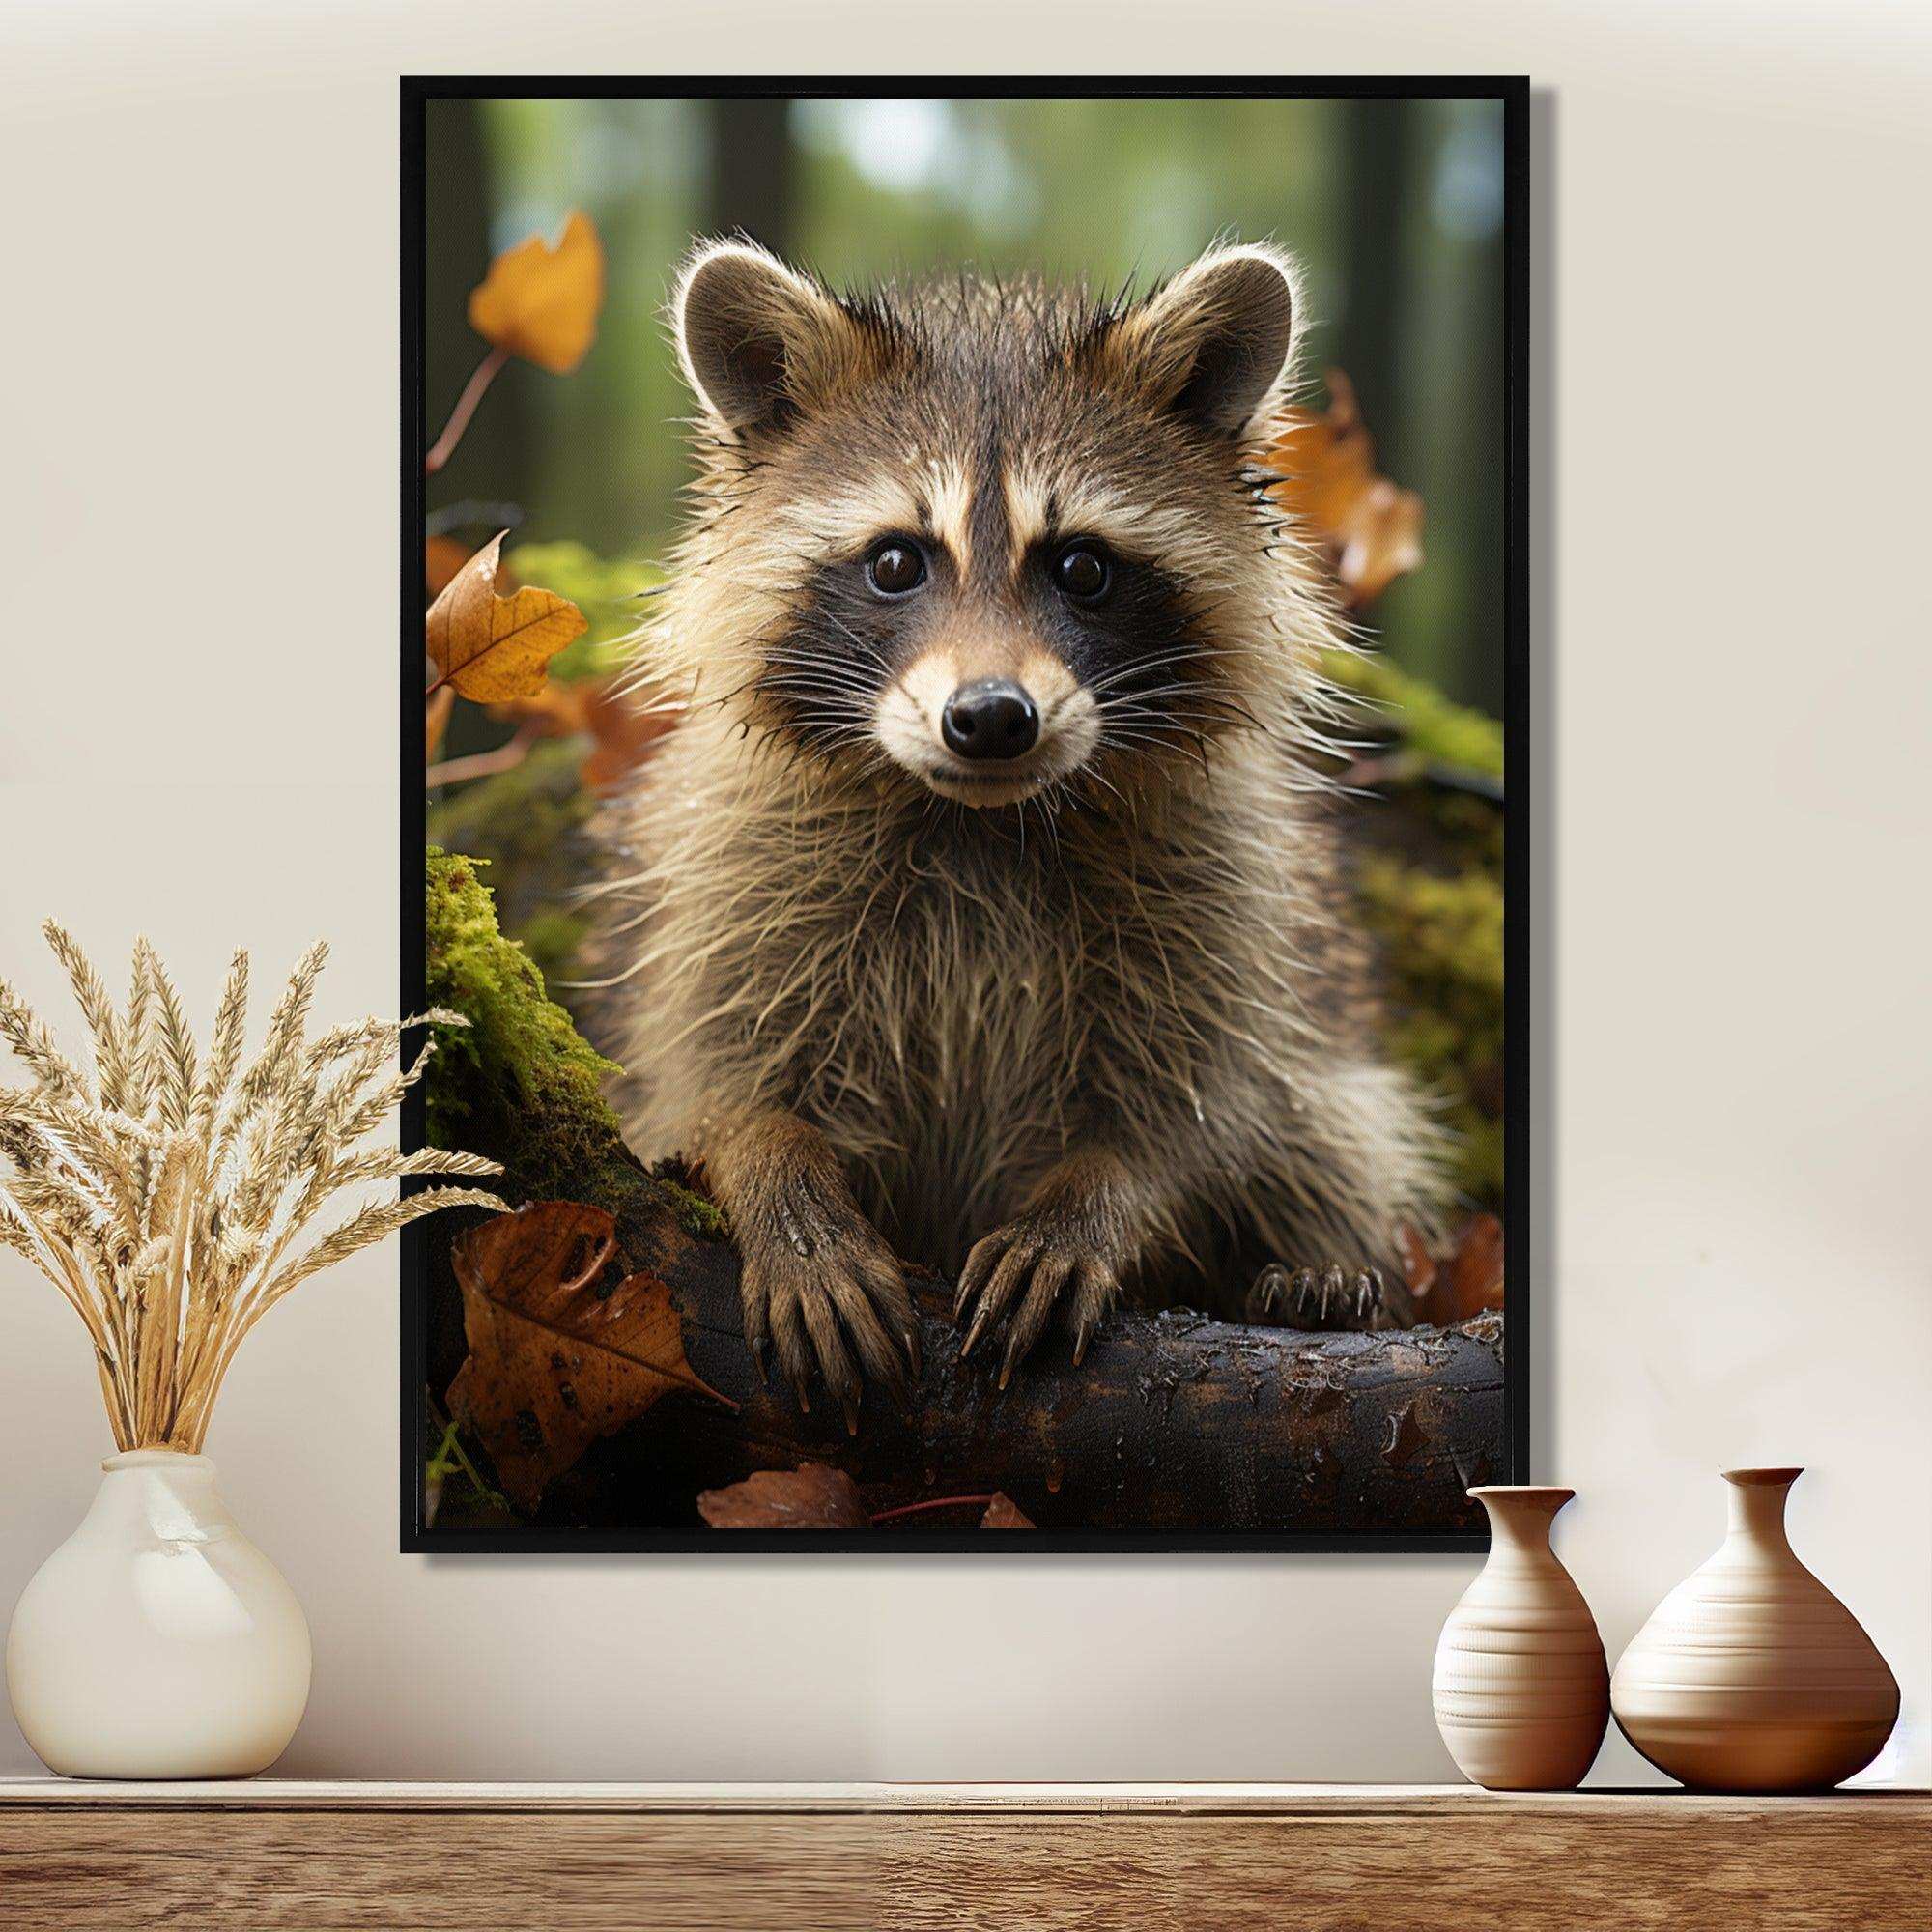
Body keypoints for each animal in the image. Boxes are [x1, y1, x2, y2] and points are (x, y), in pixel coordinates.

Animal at [592, 238, 1449, 1421]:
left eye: (1080, 566)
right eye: (896, 561)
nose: (991, 717)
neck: (976, 822)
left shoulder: (1230, 897)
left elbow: (1201, 1111)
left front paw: (1096, 1200)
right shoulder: (730, 875)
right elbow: (705, 1079)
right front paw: (779, 1178)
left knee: (1333, 1133)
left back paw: (1312, 1273)